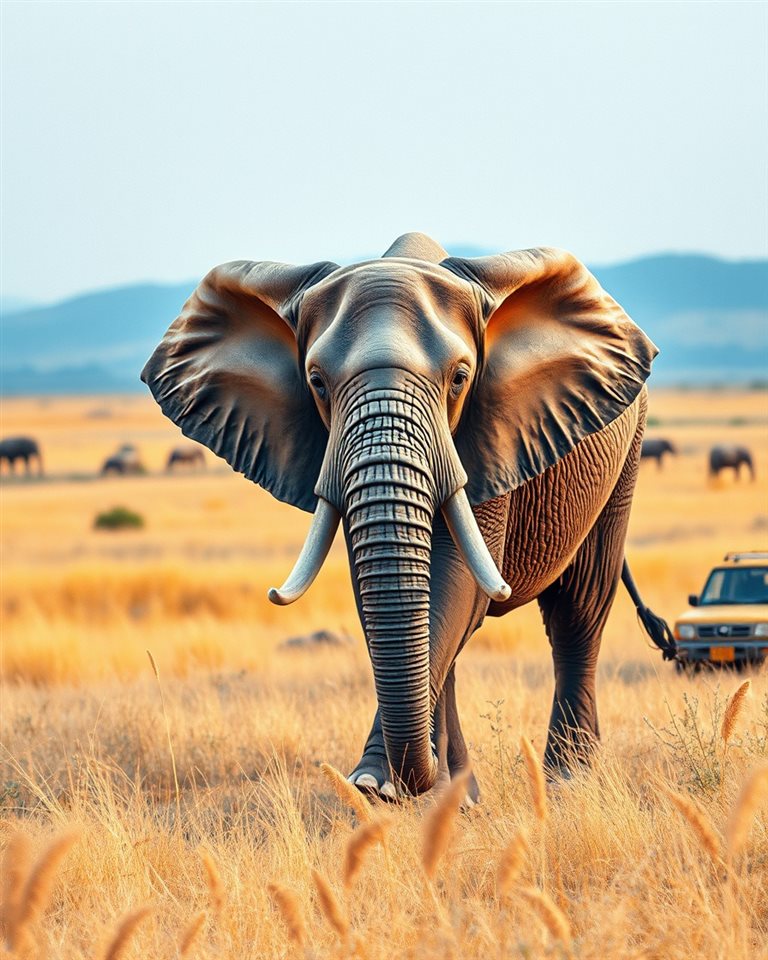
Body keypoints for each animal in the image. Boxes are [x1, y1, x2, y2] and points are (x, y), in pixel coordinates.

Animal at [142, 233, 675, 802]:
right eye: (316, 382)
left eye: (460, 378)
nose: (385, 784)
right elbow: (384, 592)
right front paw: (408, 790)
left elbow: (456, 580)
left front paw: (387, 786)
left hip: (625, 454)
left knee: (579, 609)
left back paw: (567, 781)